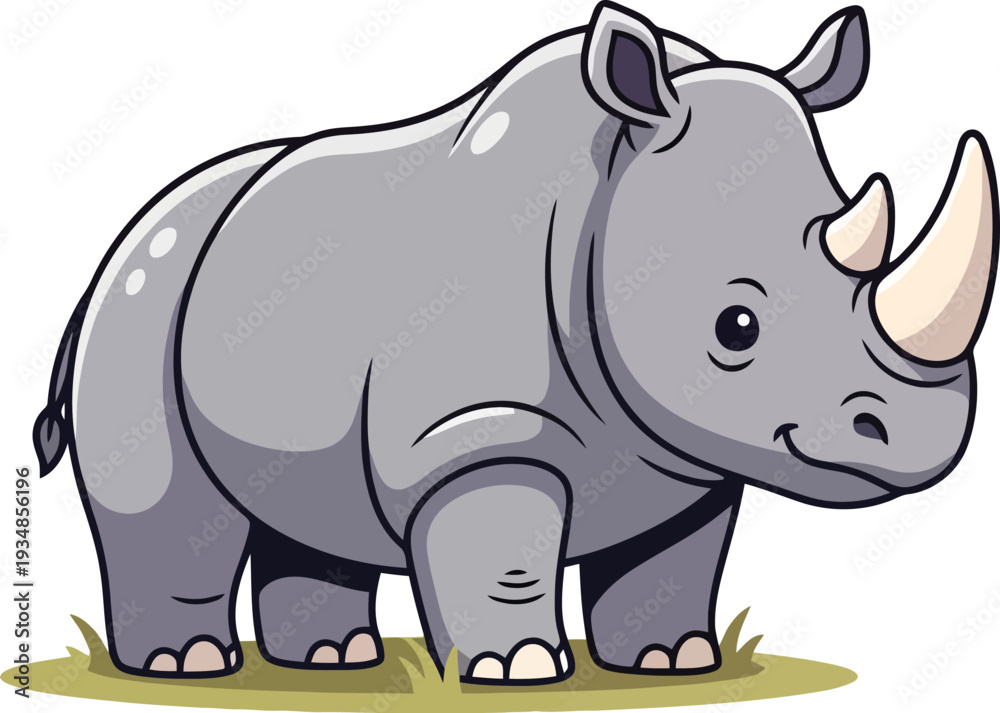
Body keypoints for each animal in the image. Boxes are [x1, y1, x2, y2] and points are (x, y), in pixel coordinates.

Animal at [33, 1, 997, 684]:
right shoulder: (473, 434)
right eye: (738, 326)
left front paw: (673, 661)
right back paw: (186, 665)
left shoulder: (686, 461)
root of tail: (120, 241)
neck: (602, 204)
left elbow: (673, 558)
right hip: (140, 299)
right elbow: (499, 551)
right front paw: (519, 668)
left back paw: (335, 661)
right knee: (166, 500)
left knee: (305, 496)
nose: (917, 437)